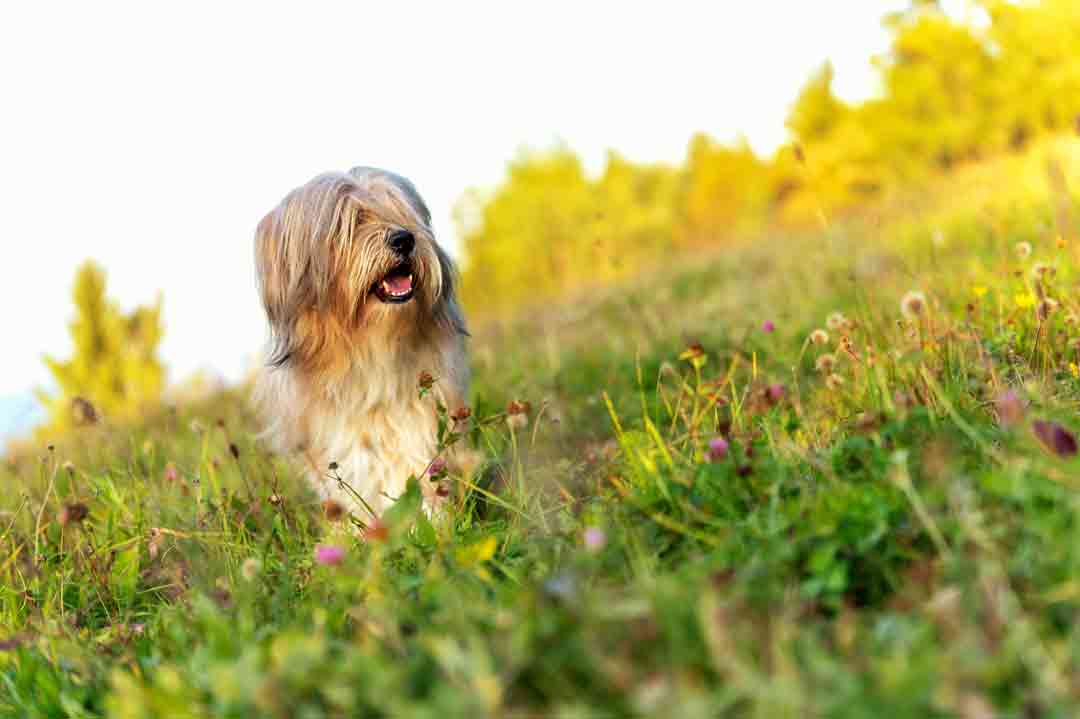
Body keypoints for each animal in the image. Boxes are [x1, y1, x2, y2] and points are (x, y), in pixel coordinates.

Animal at [257, 166, 473, 516]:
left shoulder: (420, 411)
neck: (369, 345)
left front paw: (432, 517)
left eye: (398, 210)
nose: (405, 239)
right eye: (353, 221)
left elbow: (417, 462)